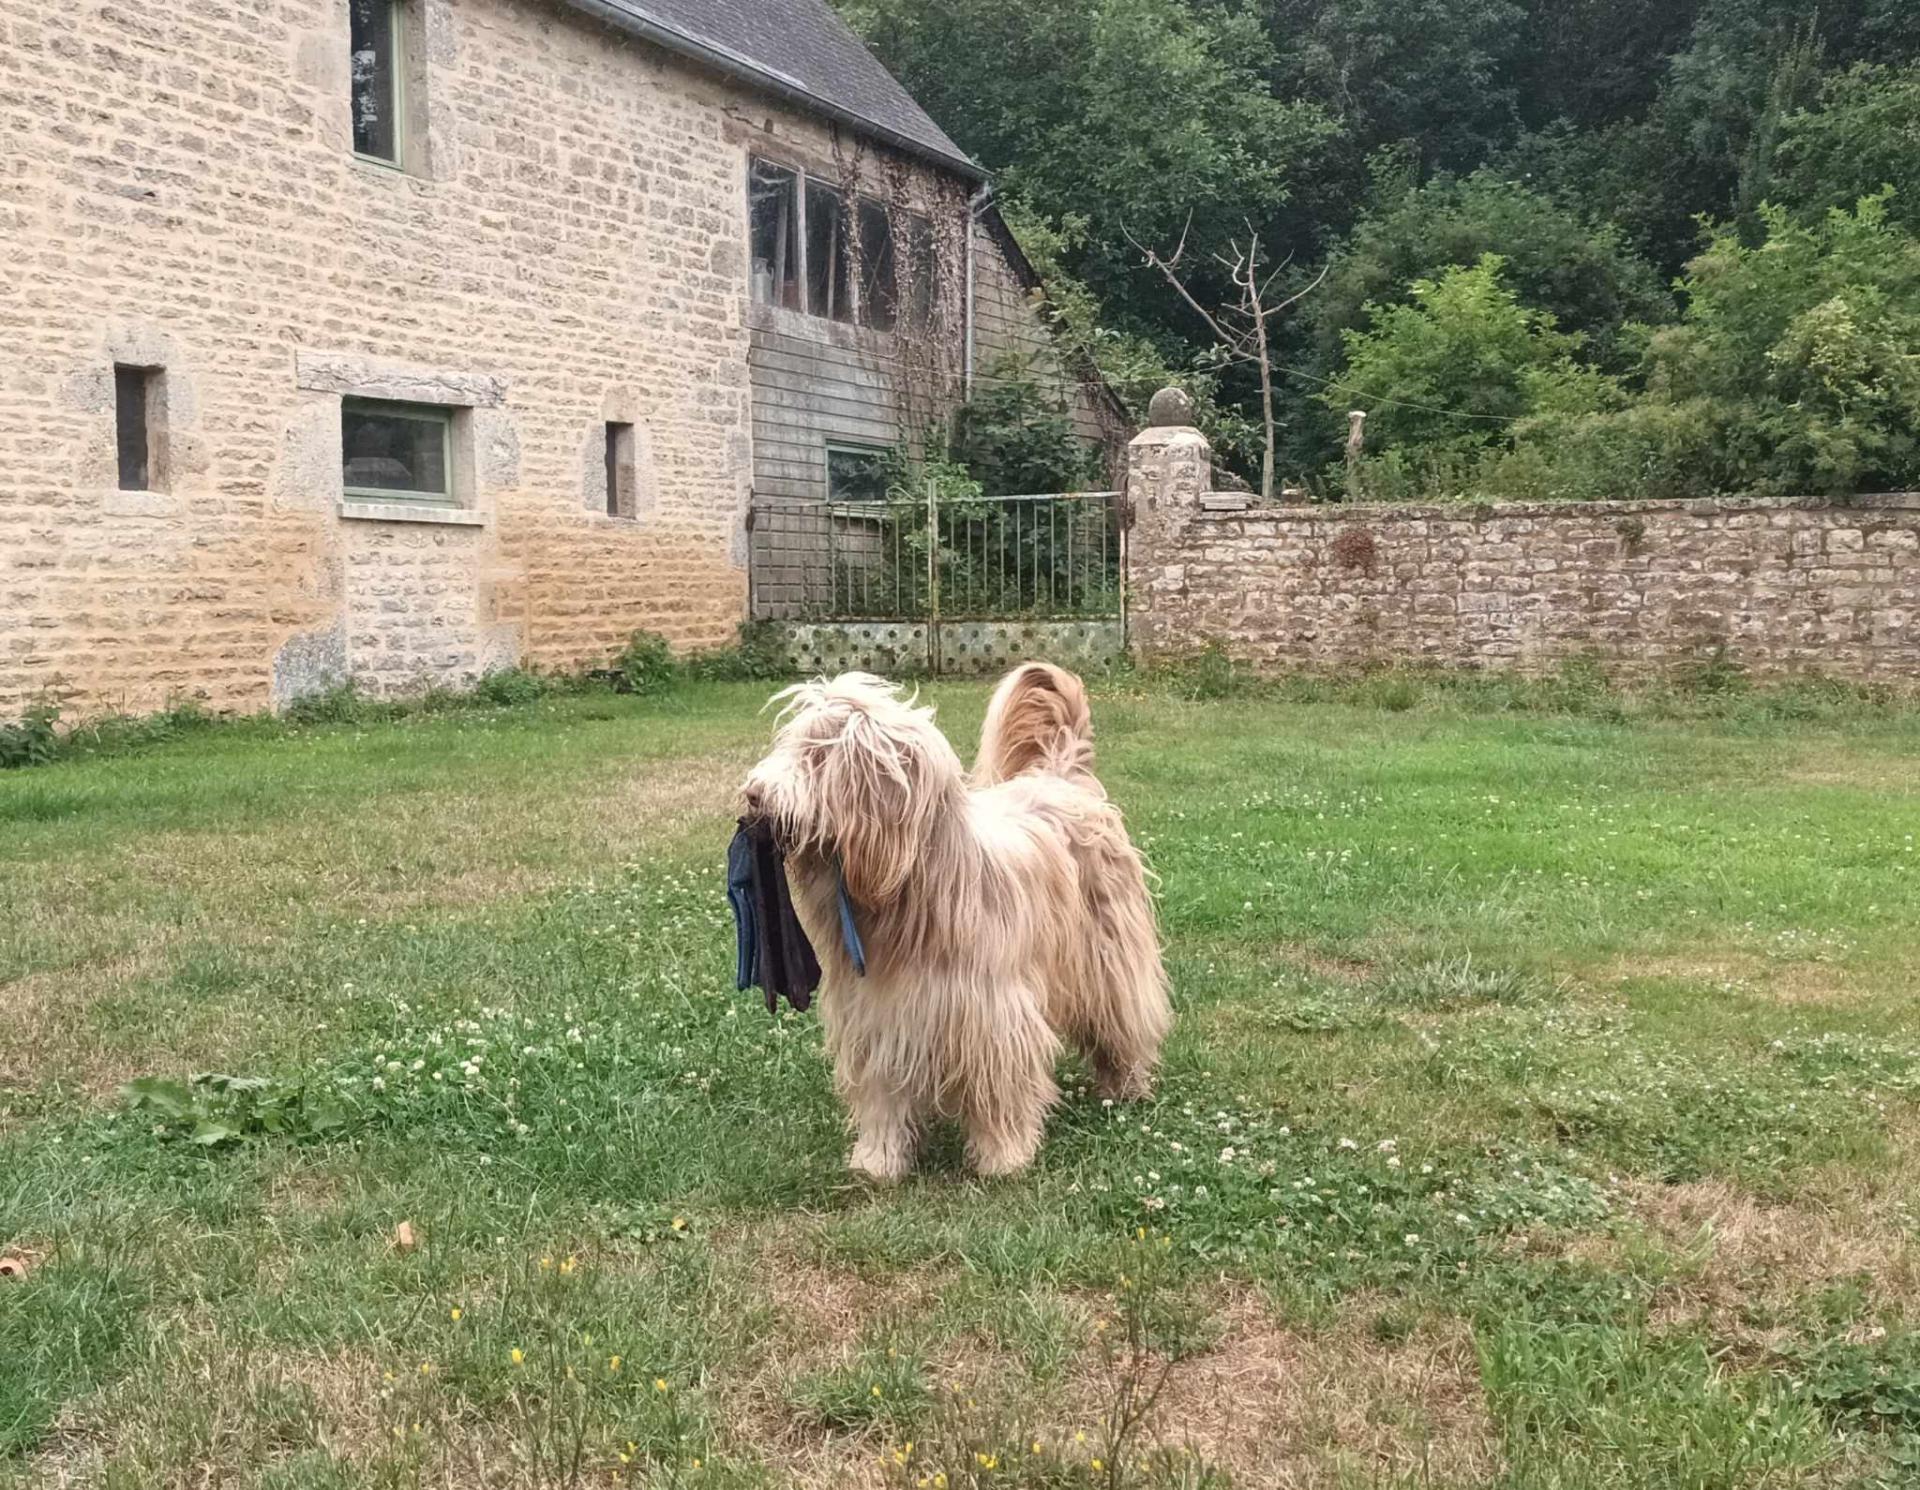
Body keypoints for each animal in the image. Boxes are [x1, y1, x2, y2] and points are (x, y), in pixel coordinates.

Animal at [744, 660, 1167, 1175]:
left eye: (819, 756)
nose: (753, 794)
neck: (910, 899)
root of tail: (1062, 773)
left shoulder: (992, 1014)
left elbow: (999, 1085)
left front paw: (1003, 1155)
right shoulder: (877, 1016)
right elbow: (882, 1092)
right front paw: (878, 1158)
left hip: (1108, 956)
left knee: (1125, 1016)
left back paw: (1124, 1085)